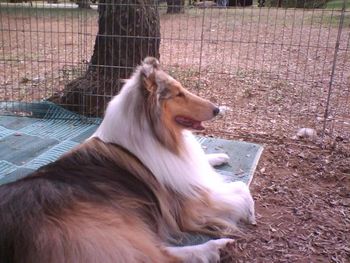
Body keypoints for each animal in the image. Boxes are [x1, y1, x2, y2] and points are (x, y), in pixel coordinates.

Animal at [1, 57, 256, 263]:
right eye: (178, 94)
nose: (217, 110)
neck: (155, 134)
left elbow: (202, 163)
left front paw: (218, 157)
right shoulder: (189, 203)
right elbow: (240, 188)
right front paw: (251, 212)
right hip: (105, 228)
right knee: (154, 257)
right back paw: (214, 248)